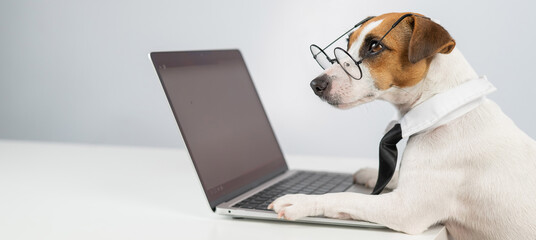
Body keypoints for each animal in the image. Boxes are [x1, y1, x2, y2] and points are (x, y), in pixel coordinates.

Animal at [268, 12, 536, 239]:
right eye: (347, 45)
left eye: (375, 46)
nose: (316, 84)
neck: (445, 112)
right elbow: (394, 174)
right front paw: (371, 173)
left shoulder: (405, 208)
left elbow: (345, 197)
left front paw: (301, 201)